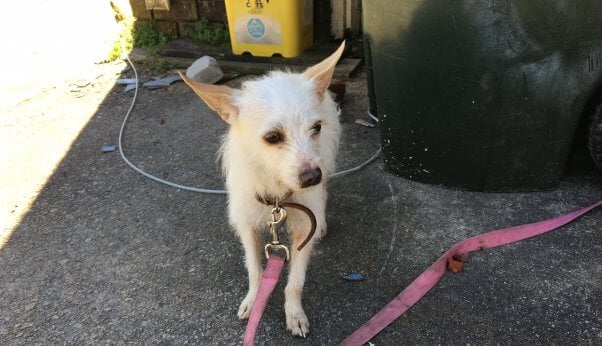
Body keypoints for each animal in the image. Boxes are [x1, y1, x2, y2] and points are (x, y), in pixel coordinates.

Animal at [179, 42, 342, 336]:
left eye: (316, 128)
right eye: (273, 137)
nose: (312, 176)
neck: (278, 193)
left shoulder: (304, 227)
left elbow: (296, 281)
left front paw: (294, 313)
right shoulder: (247, 226)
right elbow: (255, 270)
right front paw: (254, 300)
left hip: (325, 160)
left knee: (323, 193)